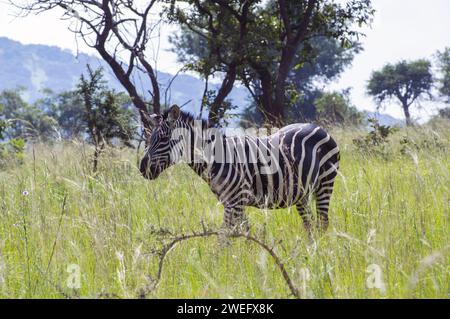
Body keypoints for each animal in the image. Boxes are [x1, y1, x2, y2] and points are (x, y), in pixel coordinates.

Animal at [139, 105, 340, 238]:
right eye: (150, 138)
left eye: (163, 138)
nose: (142, 168)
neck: (217, 158)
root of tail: (318, 127)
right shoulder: (234, 201)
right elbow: (246, 234)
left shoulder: (234, 202)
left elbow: (223, 237)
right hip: (301, 192)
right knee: (309, 224)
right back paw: (310, 250)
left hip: (325, 184)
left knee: (323, 222)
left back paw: (319, 255)